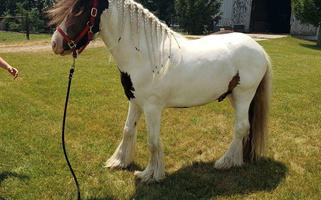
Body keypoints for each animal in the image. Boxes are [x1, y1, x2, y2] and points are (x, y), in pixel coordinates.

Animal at [48, 0, 272, 183]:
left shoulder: (152, 108)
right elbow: (128, 130)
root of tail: (258, 48)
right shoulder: (135, 103)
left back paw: (225, 162)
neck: (144, 55)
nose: (55, 43)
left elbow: (153, 141)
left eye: (79, 10)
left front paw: (150, 174)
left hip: (244, 95)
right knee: (244, 128)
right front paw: (119, 161)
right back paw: (236, 159)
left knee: (241, 127)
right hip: (234, 96)